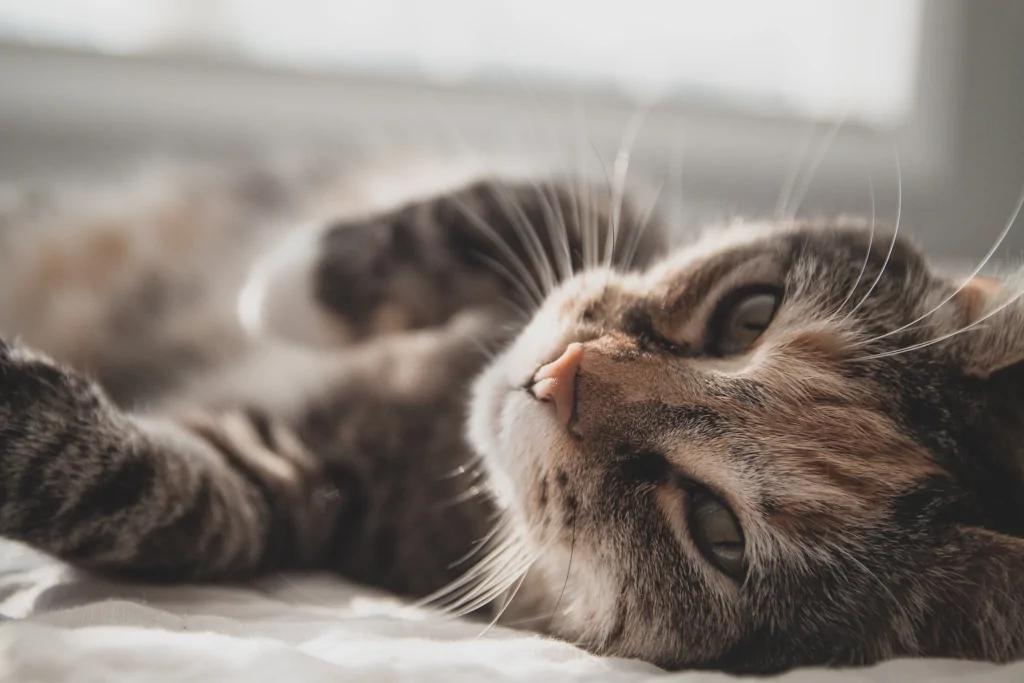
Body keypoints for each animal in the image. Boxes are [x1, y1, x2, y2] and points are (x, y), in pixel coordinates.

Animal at [2, 158, 1024, 671]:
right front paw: (286, 281)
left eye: (719, 533)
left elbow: (129, 489)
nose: (558, 376)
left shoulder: (285, 487)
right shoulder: (615, 215)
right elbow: (500, 205)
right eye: (750, 315)